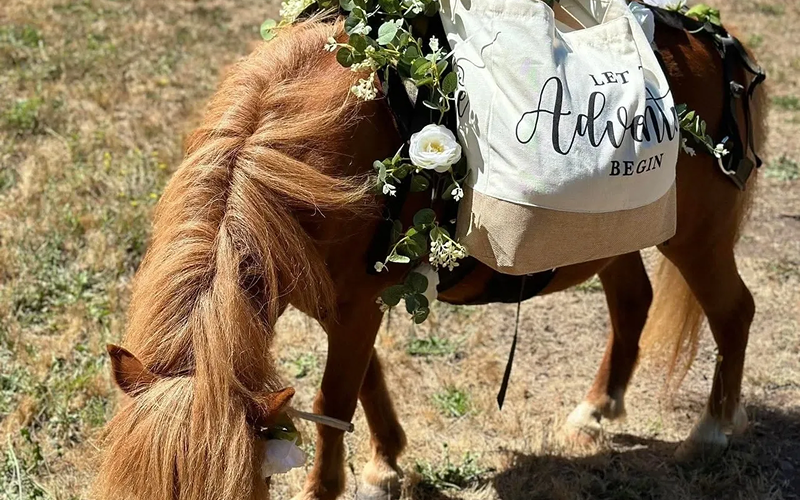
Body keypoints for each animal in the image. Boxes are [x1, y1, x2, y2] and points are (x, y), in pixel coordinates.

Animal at [92, 15, 766, 500]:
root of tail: (721, 49)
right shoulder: (349, 304)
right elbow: (365, 381)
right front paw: (385, 463)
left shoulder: (359, 305)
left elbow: (335, 398)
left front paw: (332, 485)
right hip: (610, 239)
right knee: (634, 301)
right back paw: (595, 410)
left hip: (695, 239)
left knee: (734, 311)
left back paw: (709, 433)